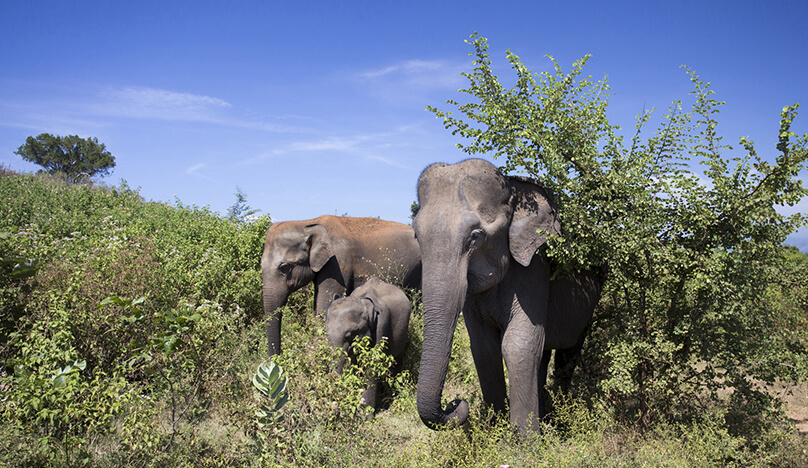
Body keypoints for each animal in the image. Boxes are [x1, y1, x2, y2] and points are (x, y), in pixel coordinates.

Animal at [324, 278, 410, 414]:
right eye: (326, 333)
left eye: (349, 335)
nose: (336, 409)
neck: (360, 299)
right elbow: (356, 363)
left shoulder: (381, 323)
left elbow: (373, 362)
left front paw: (365, 415)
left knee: (397, 360)